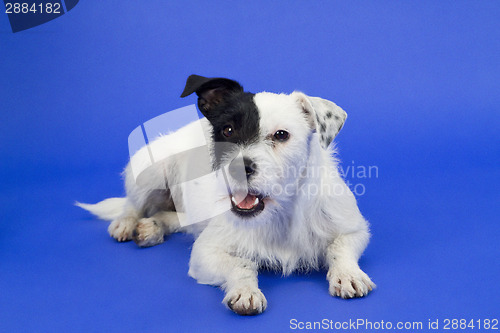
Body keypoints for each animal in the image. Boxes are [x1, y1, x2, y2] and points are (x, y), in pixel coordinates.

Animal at [78, 74, 376, 314]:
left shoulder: (354, 230)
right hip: (150, 170)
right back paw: (127, 223)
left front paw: (347, 274)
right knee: (133, 204)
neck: (280, 212)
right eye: (227, 130)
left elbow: (339, 248)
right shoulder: (204, 253)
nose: (237, 168)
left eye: (281, 135)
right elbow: (242, 264)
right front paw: (245, 290)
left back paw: (153, 227)